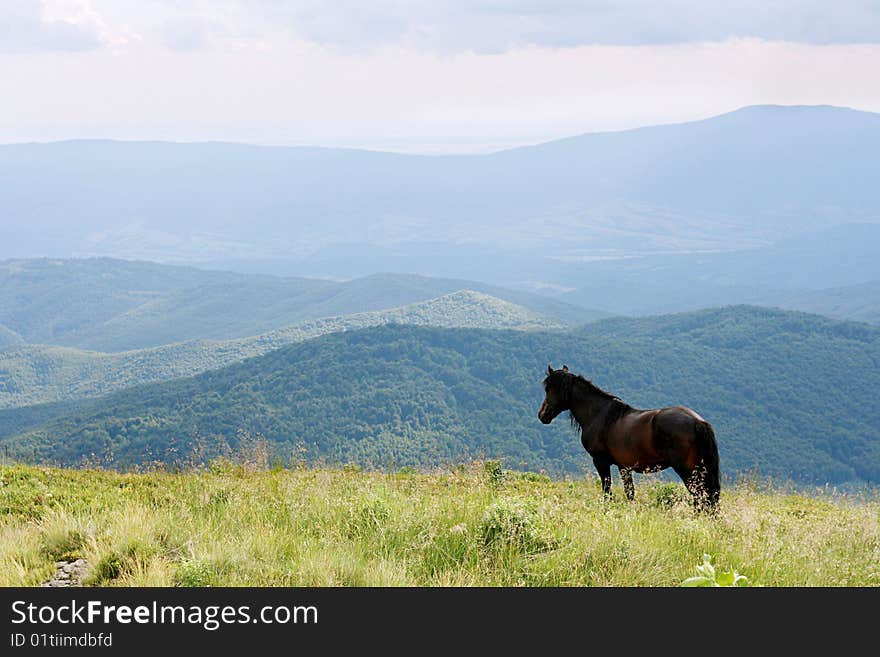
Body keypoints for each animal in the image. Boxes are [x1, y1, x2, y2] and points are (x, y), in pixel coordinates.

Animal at [536, 364, 720, 512]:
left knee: (701, 497)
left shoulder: (600, 462)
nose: (542, 415)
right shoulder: (623, 467)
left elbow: (607, 490)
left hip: (688, 471)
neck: (599, 415)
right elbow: (629, 493)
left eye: (548, 389)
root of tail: (697, 421)